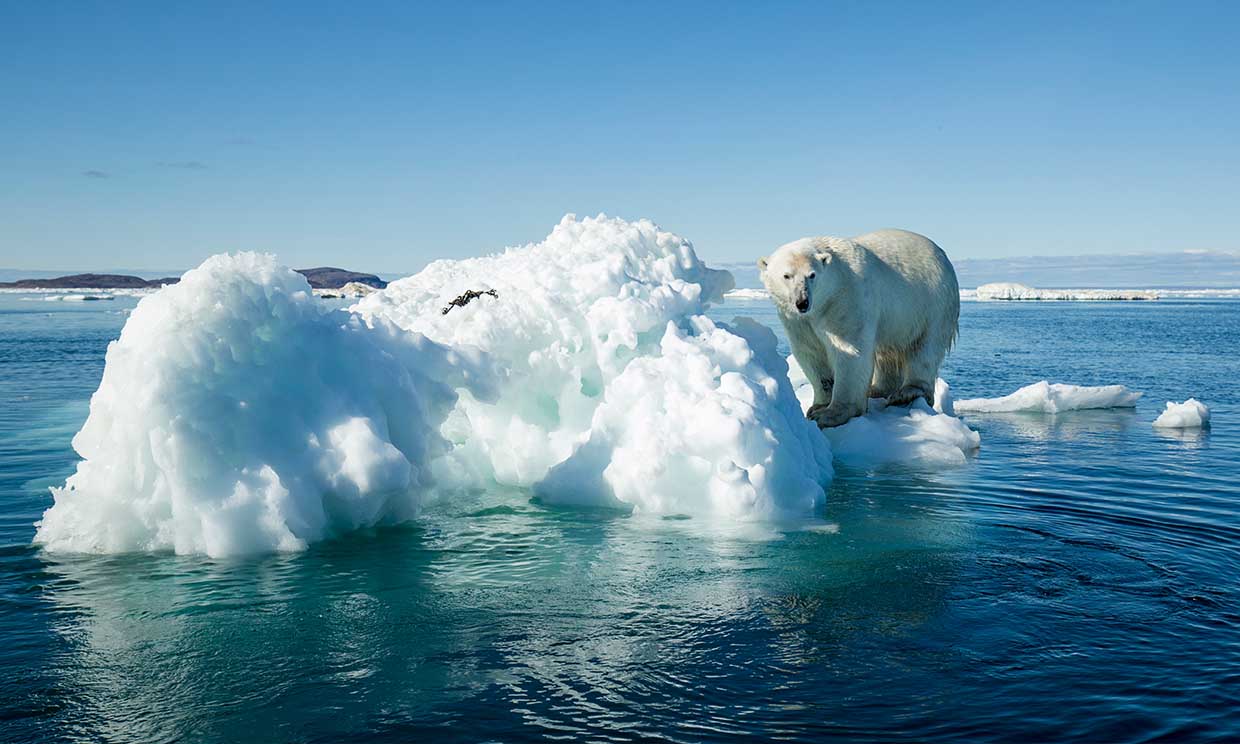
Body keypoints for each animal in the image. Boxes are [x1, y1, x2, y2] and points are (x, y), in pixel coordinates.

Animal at [753, 226, 957, 426]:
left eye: (812, 275)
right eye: (786, 275)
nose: (802, 302)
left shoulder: (846, 299)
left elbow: (849, 351)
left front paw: (830, 414)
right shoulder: (797, 320)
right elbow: (810, 352)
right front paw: (817, 406)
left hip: (932, 302)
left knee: (925, 348)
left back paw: (907, 393)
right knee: (887, 353)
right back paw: (877, 389)